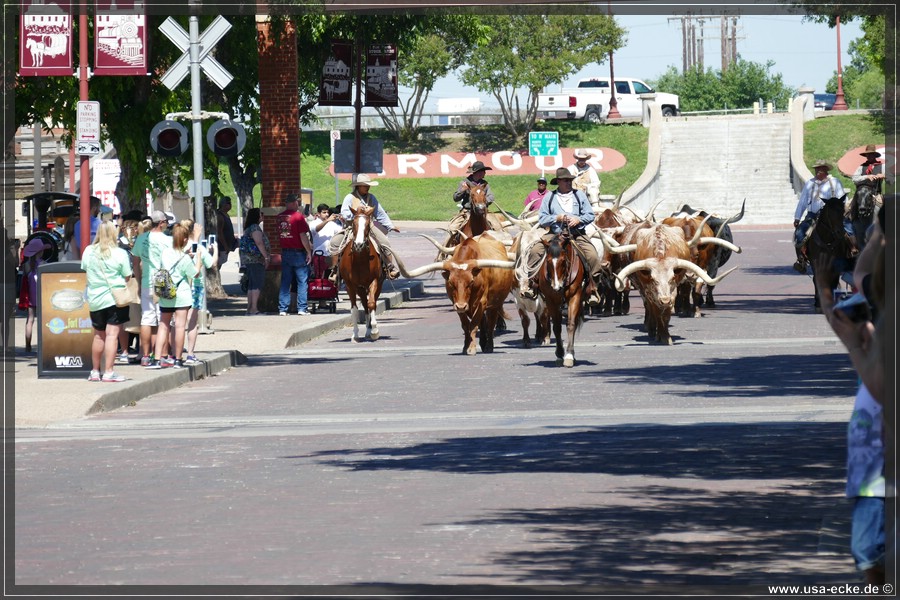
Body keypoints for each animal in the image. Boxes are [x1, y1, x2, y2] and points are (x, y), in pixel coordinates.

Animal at [336, 204, 382, 340]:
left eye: (367, 225)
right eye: (354, 224)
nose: (359, 245)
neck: (360, 259)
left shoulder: (374, 281)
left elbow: (372, 304)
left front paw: (375, 330)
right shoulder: (350, 285)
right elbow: (354, 309)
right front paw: (355, 334)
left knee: (370, 303)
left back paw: (370, 330)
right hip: (360, 288)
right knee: (364, 305)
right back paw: (366, 330)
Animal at [536, 232, 588, 368]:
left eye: (563, 261)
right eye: (548, 261)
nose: (557, 287)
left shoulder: (575, 297)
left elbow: (571, 324)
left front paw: (569, 355)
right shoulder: (551, 300)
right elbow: (557, 327)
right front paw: (559, 354)